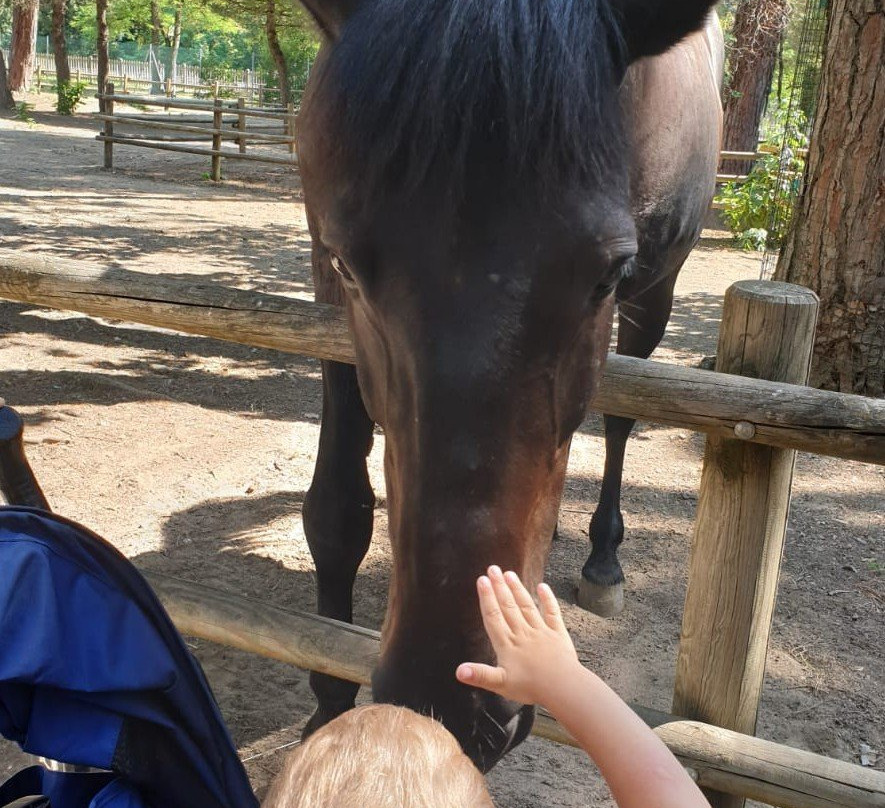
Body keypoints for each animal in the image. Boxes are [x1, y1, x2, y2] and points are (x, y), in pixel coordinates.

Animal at [294, 0, 720, 772]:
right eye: (347, 264)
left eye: (607, 274)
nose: (447, 699)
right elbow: (336, 510)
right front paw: (329, 709)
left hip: (660, 293)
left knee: (619, 426)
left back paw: (601, 561)